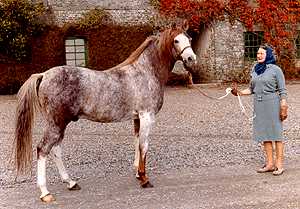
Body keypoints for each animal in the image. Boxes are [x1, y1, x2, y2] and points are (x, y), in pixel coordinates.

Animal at [13, 21, 197, 202]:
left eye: (189, 38)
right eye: (176, 40)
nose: (191, 59)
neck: (145, 73)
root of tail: (43, 75)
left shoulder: (137, 118)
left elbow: (137, 142)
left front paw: (138, 174)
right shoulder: (146, 116)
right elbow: (144, 146)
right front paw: (145, 179)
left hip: (60, 123)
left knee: (56, 150)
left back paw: (71, 182)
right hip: (56, 123)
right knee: (43, 149)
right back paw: (45, 192)